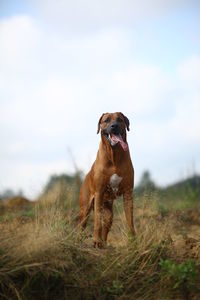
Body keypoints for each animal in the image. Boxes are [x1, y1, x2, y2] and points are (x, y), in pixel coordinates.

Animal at [78, 111, 136, 247]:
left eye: (119, 119)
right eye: (106, 120)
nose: (114, 126)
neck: (114, 155)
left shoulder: (128, 193)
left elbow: (130, 221)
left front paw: (133, 242)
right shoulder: (99, 192)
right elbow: (97, 222)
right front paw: (96, 241)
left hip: (108, 212)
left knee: (106, 226)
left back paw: (104, 244)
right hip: (85, 209)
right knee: (81, 226)